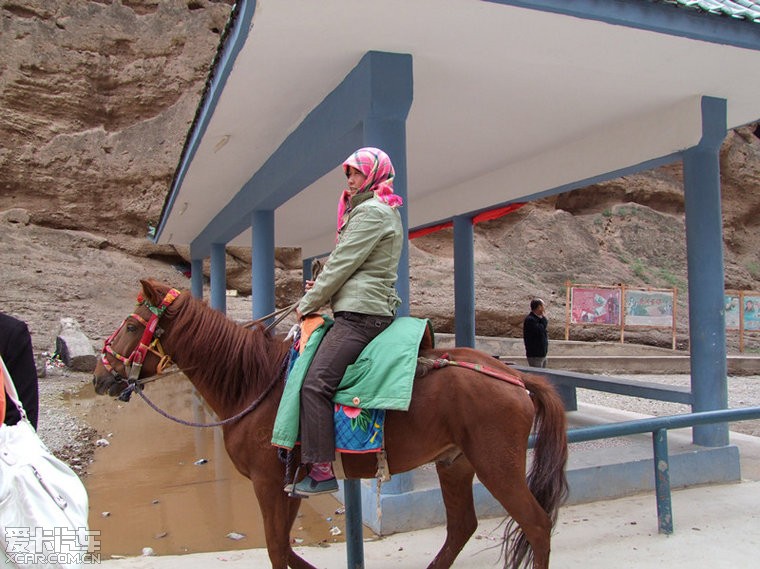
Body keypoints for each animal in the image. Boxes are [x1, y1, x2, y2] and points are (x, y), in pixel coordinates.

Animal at [92, 280, 568, 568]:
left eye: (132, 325)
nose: (99, 376)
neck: (254, 383)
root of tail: (513, 377)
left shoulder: (268, 483)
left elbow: (277, 549)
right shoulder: (289, 483)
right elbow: (285, 548)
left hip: (496, 465)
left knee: (537, 525)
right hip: (455, 462)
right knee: (462, 527)